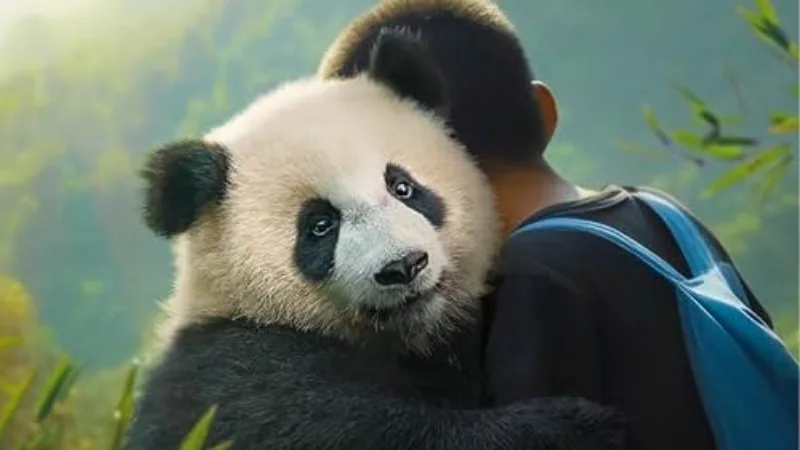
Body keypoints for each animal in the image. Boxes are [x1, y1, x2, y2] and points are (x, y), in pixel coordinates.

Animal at [125, 30, 624, 450]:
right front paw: (572, 427)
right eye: (319, 226)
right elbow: (329, 424)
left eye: (402, 186)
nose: (404, 266)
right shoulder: (232, 372)